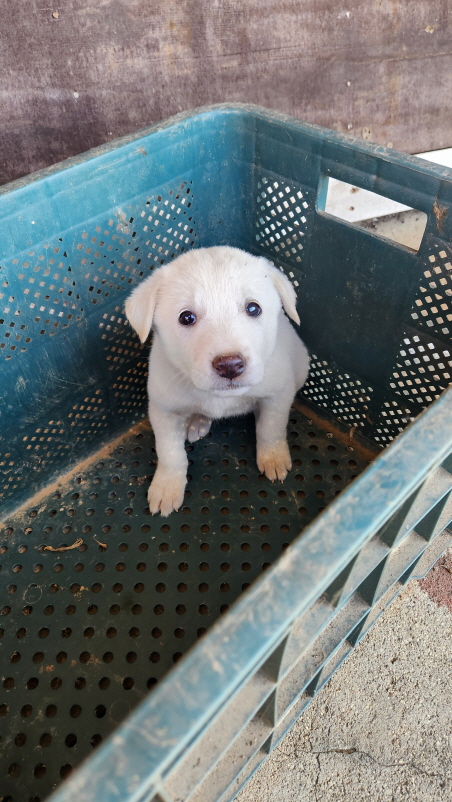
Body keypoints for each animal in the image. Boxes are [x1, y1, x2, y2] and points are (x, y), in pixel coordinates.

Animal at [126, 247, 310, 516]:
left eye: (253, 308)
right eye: (186, 317)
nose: (230, 365)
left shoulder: (278, 394)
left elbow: (271, 428)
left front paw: (273, 458)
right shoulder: (163, 410)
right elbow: (170, 453)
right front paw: (166, 487)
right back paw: (197, 422)